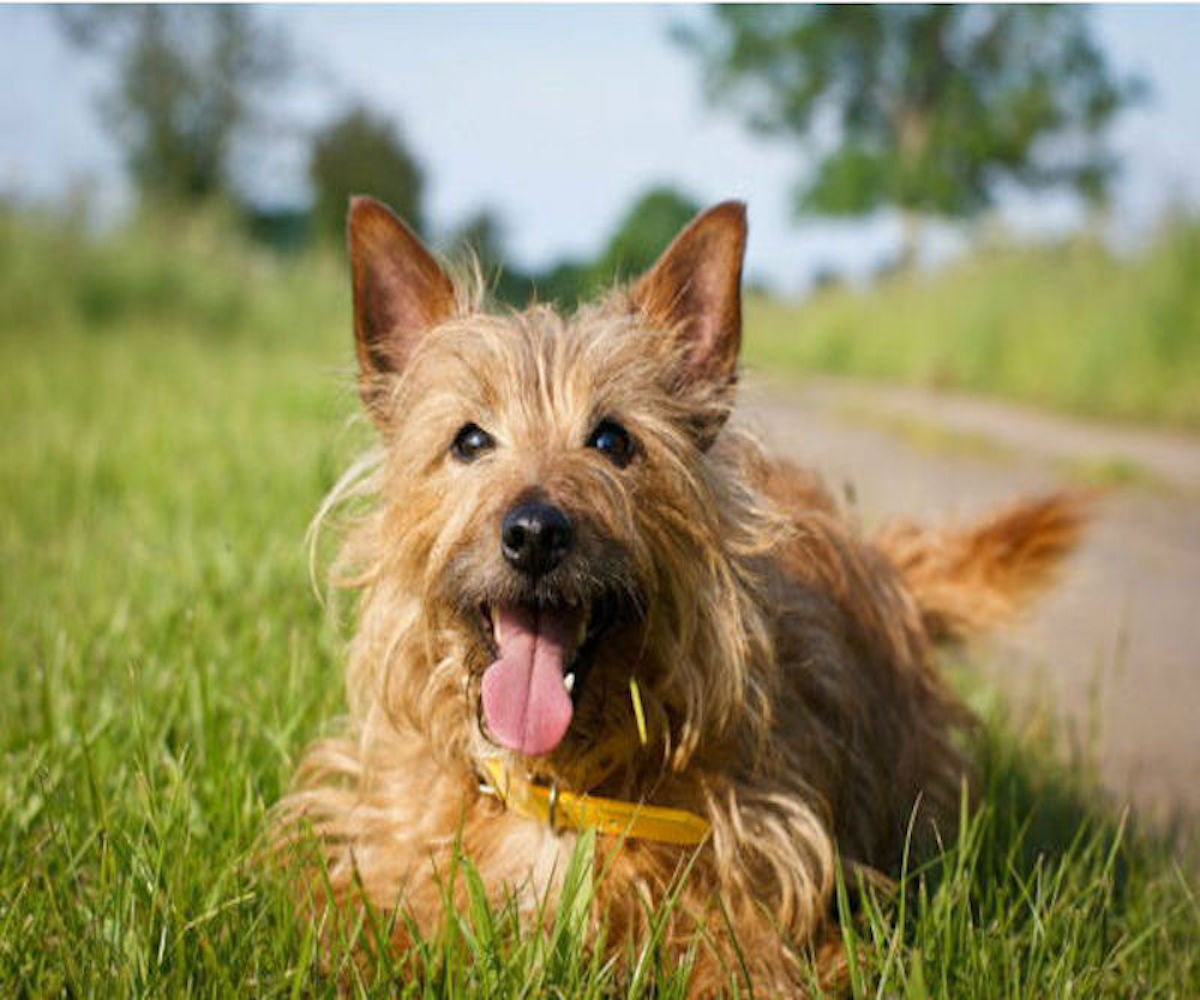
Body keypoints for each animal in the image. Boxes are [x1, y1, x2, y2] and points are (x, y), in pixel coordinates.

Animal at [274, 194, 1089, 989]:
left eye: (612, 439)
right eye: (470, 440)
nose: (534, 533)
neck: (561, 789)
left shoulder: (761, 917)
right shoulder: (379, 861)